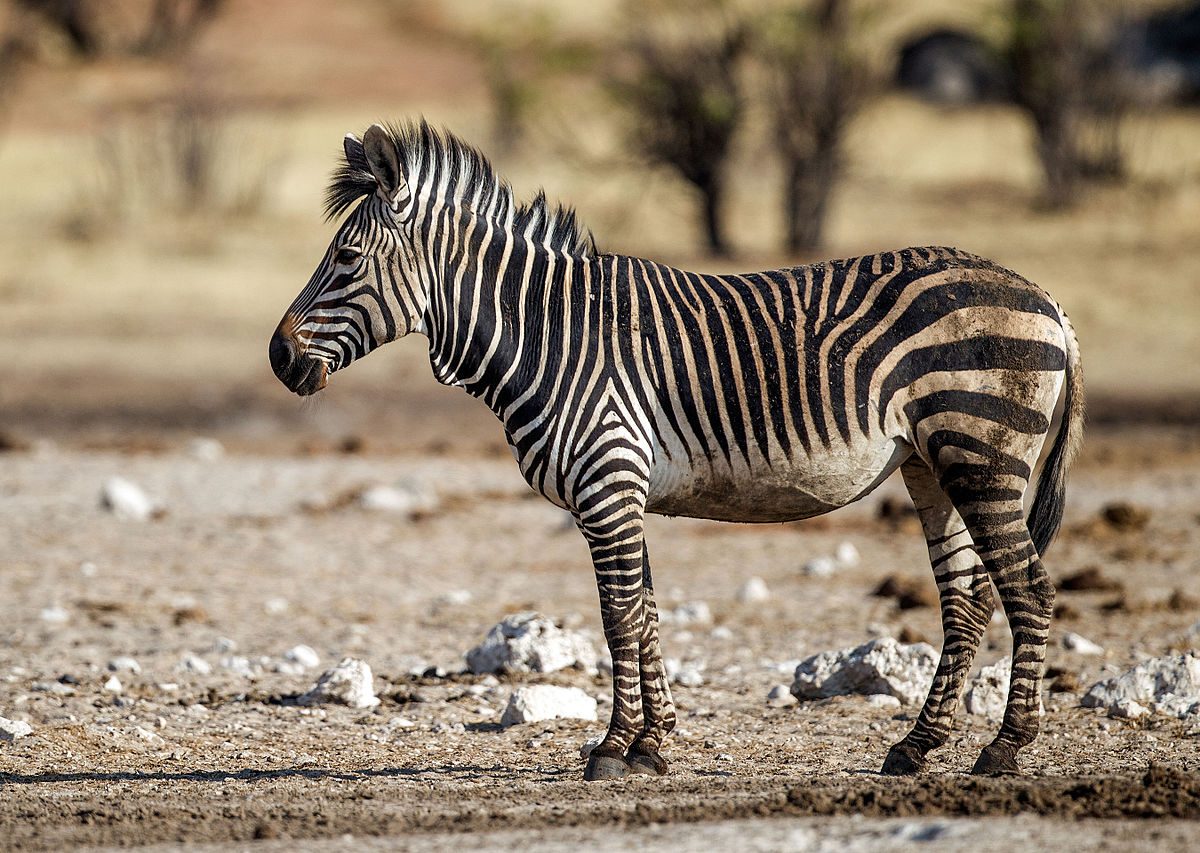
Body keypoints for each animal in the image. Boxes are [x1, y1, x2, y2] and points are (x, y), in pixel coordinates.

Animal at [269, 121, 1084, 781]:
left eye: (346, 257)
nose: (278, 359)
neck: (549, 335)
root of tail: (1044, 297)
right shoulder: (622, 493)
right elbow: (649, 613)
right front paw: (652, 745)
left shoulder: (606, 484)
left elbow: (619, 616)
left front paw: (612, 748)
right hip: (930, 464)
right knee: (965, 602)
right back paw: (916, 747)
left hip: (981, 453)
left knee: (1028, 589)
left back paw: (1004, 749)